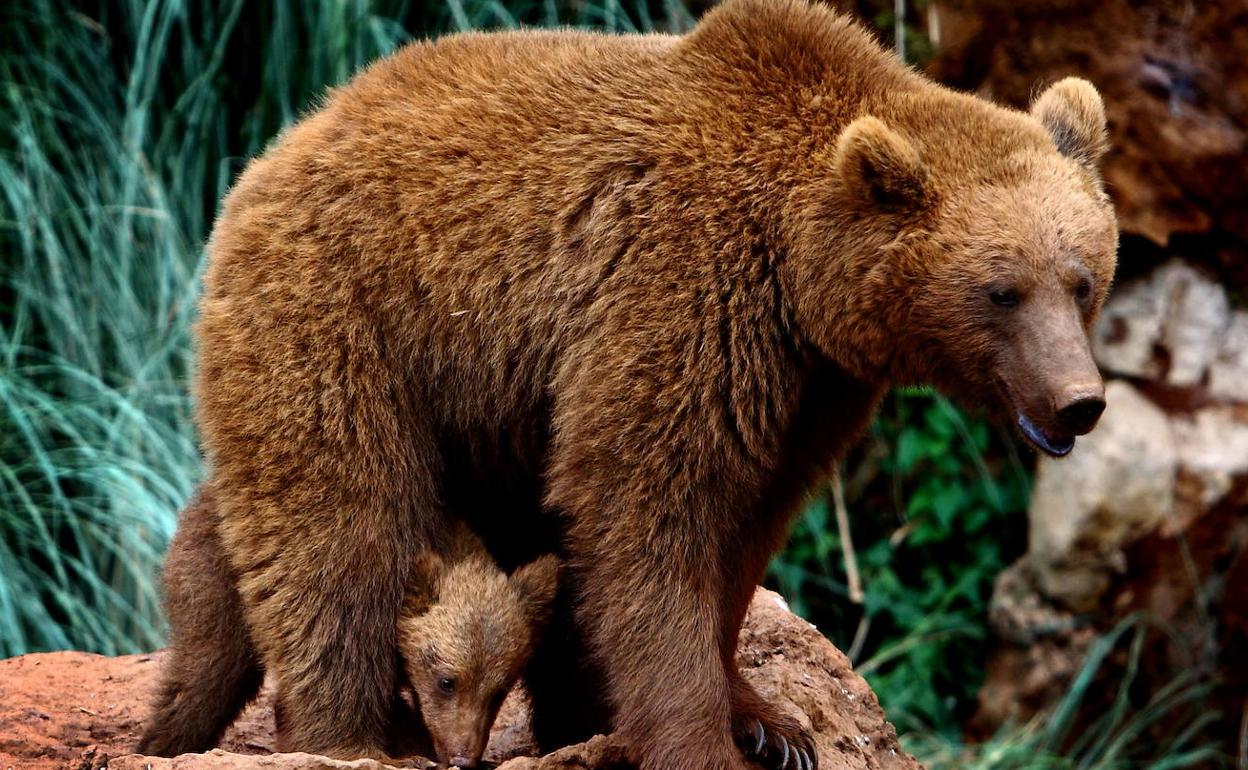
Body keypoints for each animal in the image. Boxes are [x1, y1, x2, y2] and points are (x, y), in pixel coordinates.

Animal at [135, 489, 556, 763]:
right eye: (447, 681)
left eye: (499, 692)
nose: (462, 757)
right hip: (220, 580)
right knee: (206, 677)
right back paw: (160, 746)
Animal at [192, 0, 1113, 763]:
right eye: (1001, 290)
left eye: (1082, 279)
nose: (1080, 401)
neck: (799, 268)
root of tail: (280, 143)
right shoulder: (683, 296)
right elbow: (644, 510)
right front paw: (705, 740)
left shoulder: (809, 388)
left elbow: (744, 531)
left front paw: (771, 725)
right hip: (349, 319)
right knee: (342, 526)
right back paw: (349, 734)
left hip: (492, 400)